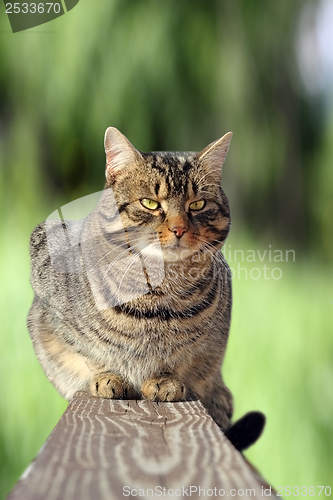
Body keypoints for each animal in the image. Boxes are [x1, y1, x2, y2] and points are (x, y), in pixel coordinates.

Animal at [27, 127, 264, 452]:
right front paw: (107, 376)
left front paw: (164, 380)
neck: (160, 290)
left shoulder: (205, 344)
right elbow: (90, 351)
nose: (179, 229)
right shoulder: (50, 301)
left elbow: (181, 357)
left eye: (197, 205)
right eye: (150, 203)